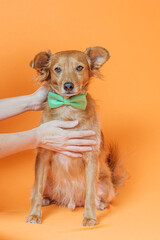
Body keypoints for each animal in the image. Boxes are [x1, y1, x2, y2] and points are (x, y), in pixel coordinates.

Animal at [26, 47, 125, 227]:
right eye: (57, 69)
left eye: (79, 68)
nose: (68, 86)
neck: (68, 108)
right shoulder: (43, 156)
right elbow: (37, 190)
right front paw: (35, 214)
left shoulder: (91, 158)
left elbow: (90, 194)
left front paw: (90, 218)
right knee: (42, 191)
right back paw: (46, 199)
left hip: (104, 182)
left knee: (102, 197)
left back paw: (100, 204)